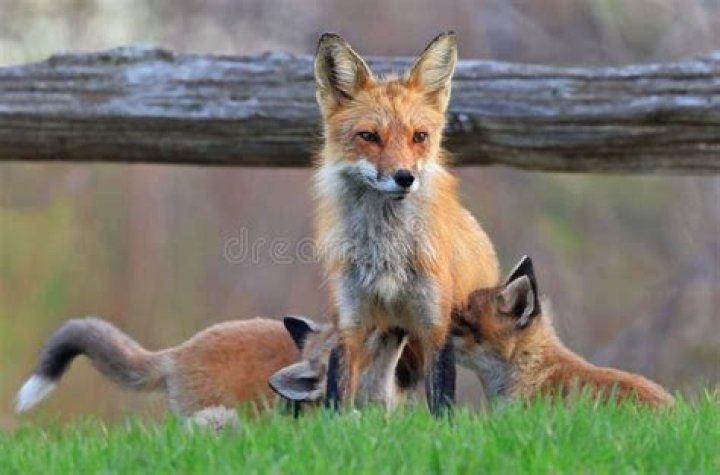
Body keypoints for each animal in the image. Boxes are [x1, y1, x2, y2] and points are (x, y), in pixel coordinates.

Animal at [313, 31, 499, 413]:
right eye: (369, 136)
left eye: (419, 136)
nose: (405, 177)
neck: (388, 255)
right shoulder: (349, 325)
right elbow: (336, 403)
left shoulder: (435, 328)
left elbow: (442, 407)